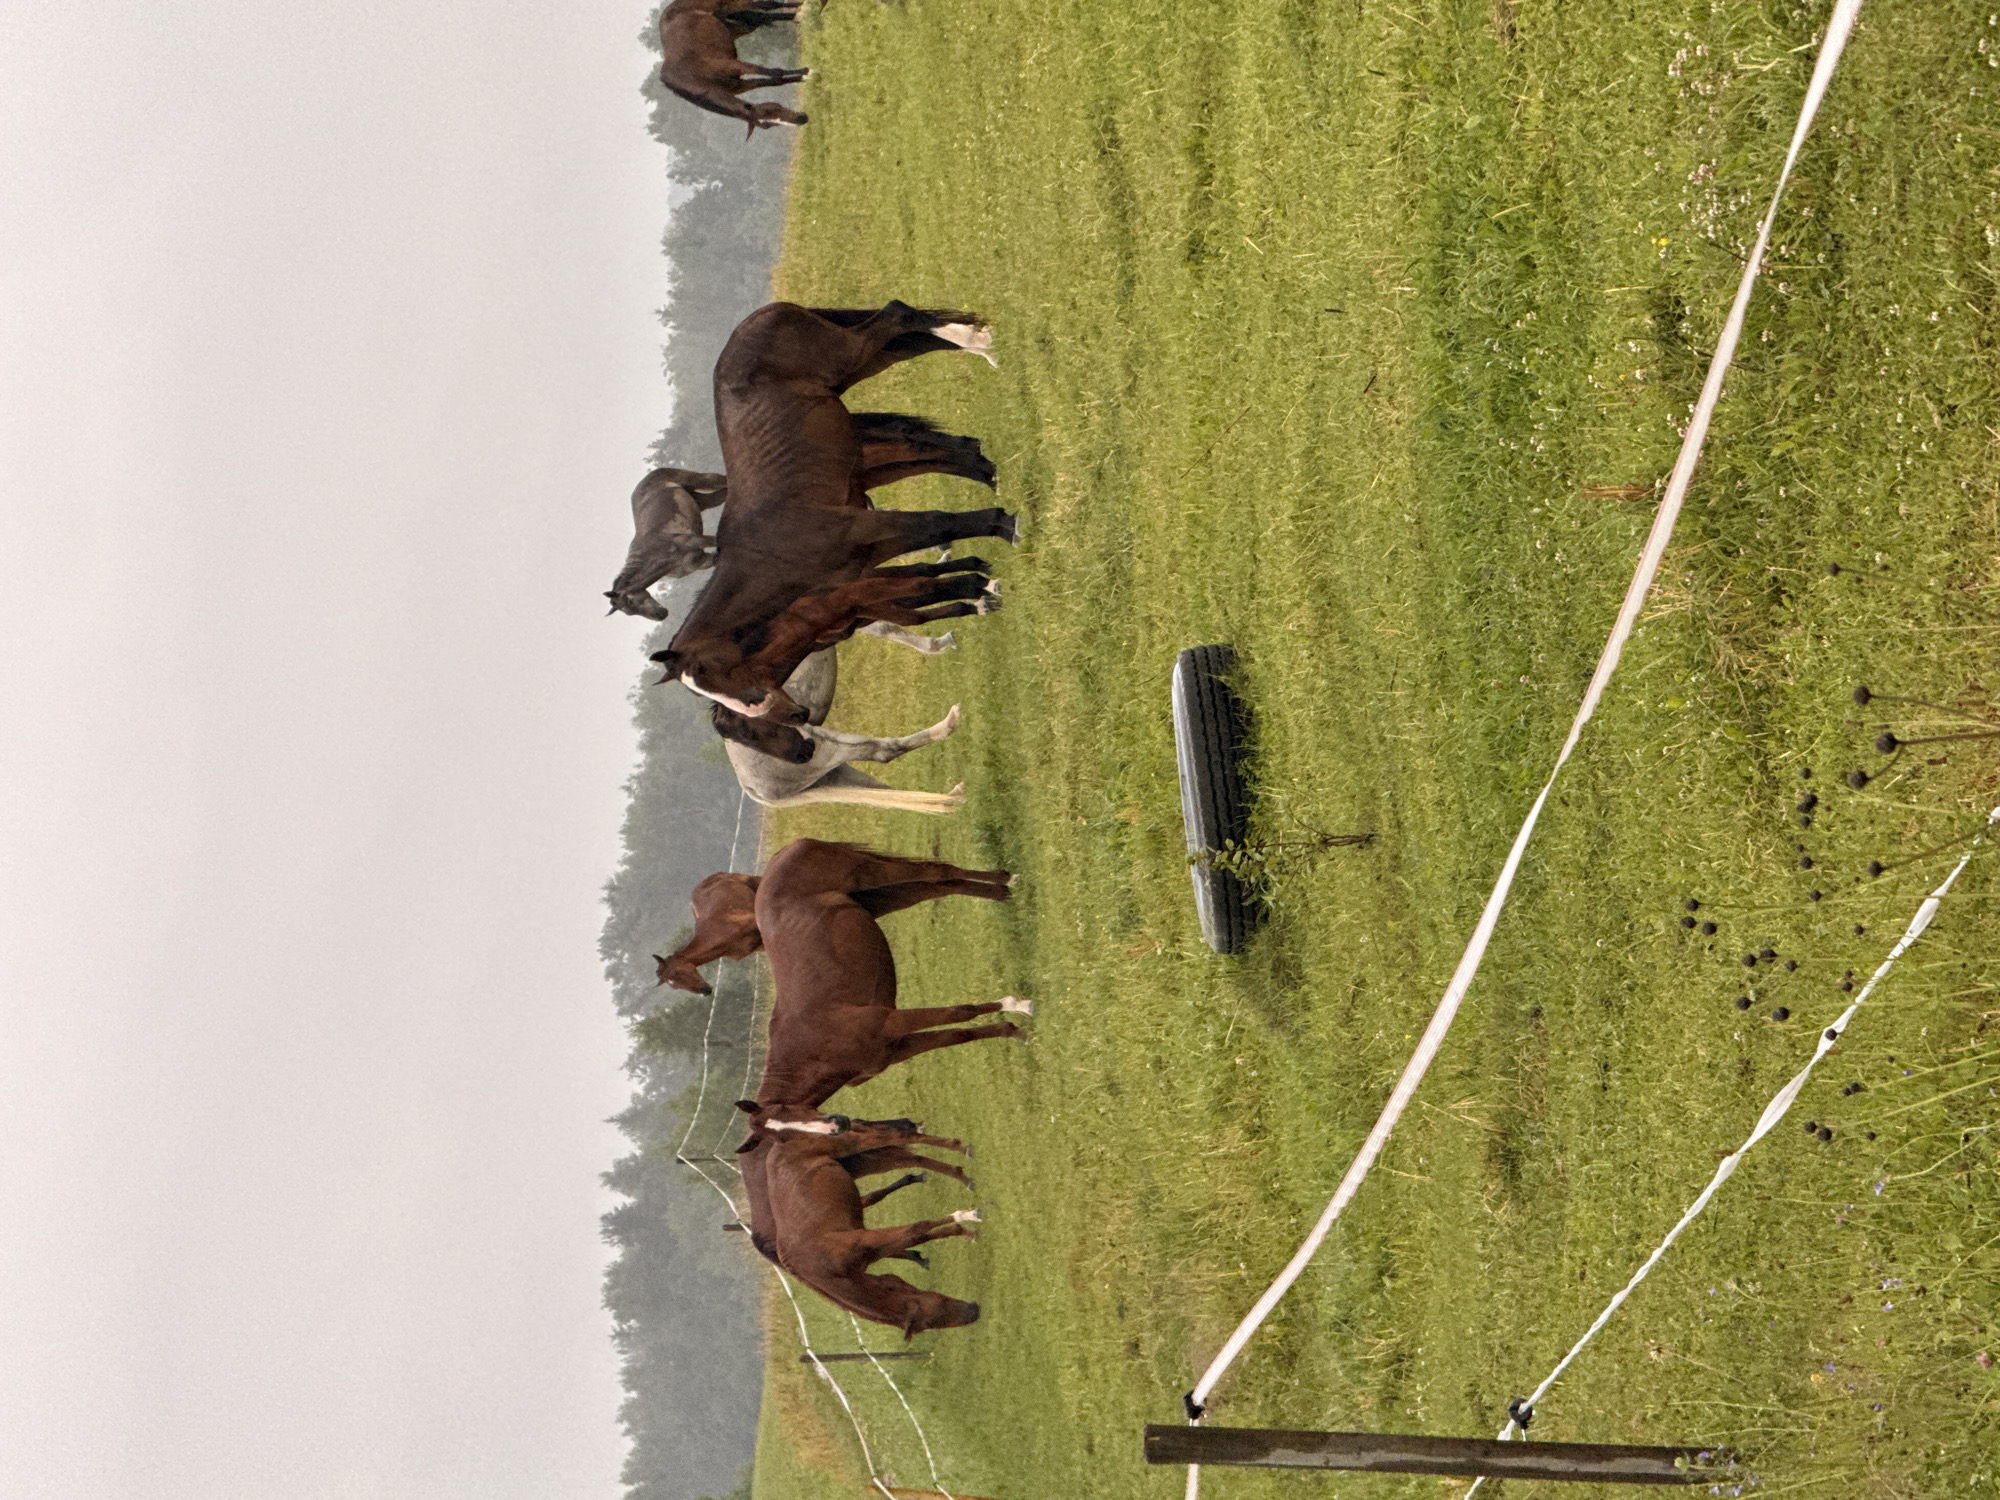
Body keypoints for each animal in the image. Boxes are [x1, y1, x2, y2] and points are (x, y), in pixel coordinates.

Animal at [651, 302, 1015, 721]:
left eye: (708, 671)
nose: (762, 706)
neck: (770, 551)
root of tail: (760, 316)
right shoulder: (865, 566)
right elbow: (921, 583)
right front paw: (980, 583)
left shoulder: (866, 529)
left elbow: (938, 527)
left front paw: (1007, 526)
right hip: (863, 367)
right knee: (909, 344)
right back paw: (978, 347)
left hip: (850, 355)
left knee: (898, 316)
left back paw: (977, 345)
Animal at [658, 0, 809, 136]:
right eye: (769, 123)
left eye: (771, 111)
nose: (802, 119)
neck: (694, 80)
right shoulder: (740, 85)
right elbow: (775, 81)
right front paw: (801, 78)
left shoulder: (733, 65)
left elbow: (774, 72)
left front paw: (806, 72)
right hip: (735, 26)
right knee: (761, 17)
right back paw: (798, 14)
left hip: (731, 5)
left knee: (767, 5)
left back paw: (801, 6)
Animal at [734, 1104, 982, 1335]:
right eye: (932, 1322)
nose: (974, 1311)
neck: (822, 1267)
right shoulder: (872, 1246)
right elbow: (918, 1233)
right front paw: (964, 1229)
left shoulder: (865, 1238)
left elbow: (917, 1227)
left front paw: (967, 1216)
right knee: (907, 1150)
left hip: (853, 1144)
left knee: (902, 1139)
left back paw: (960, 1155)